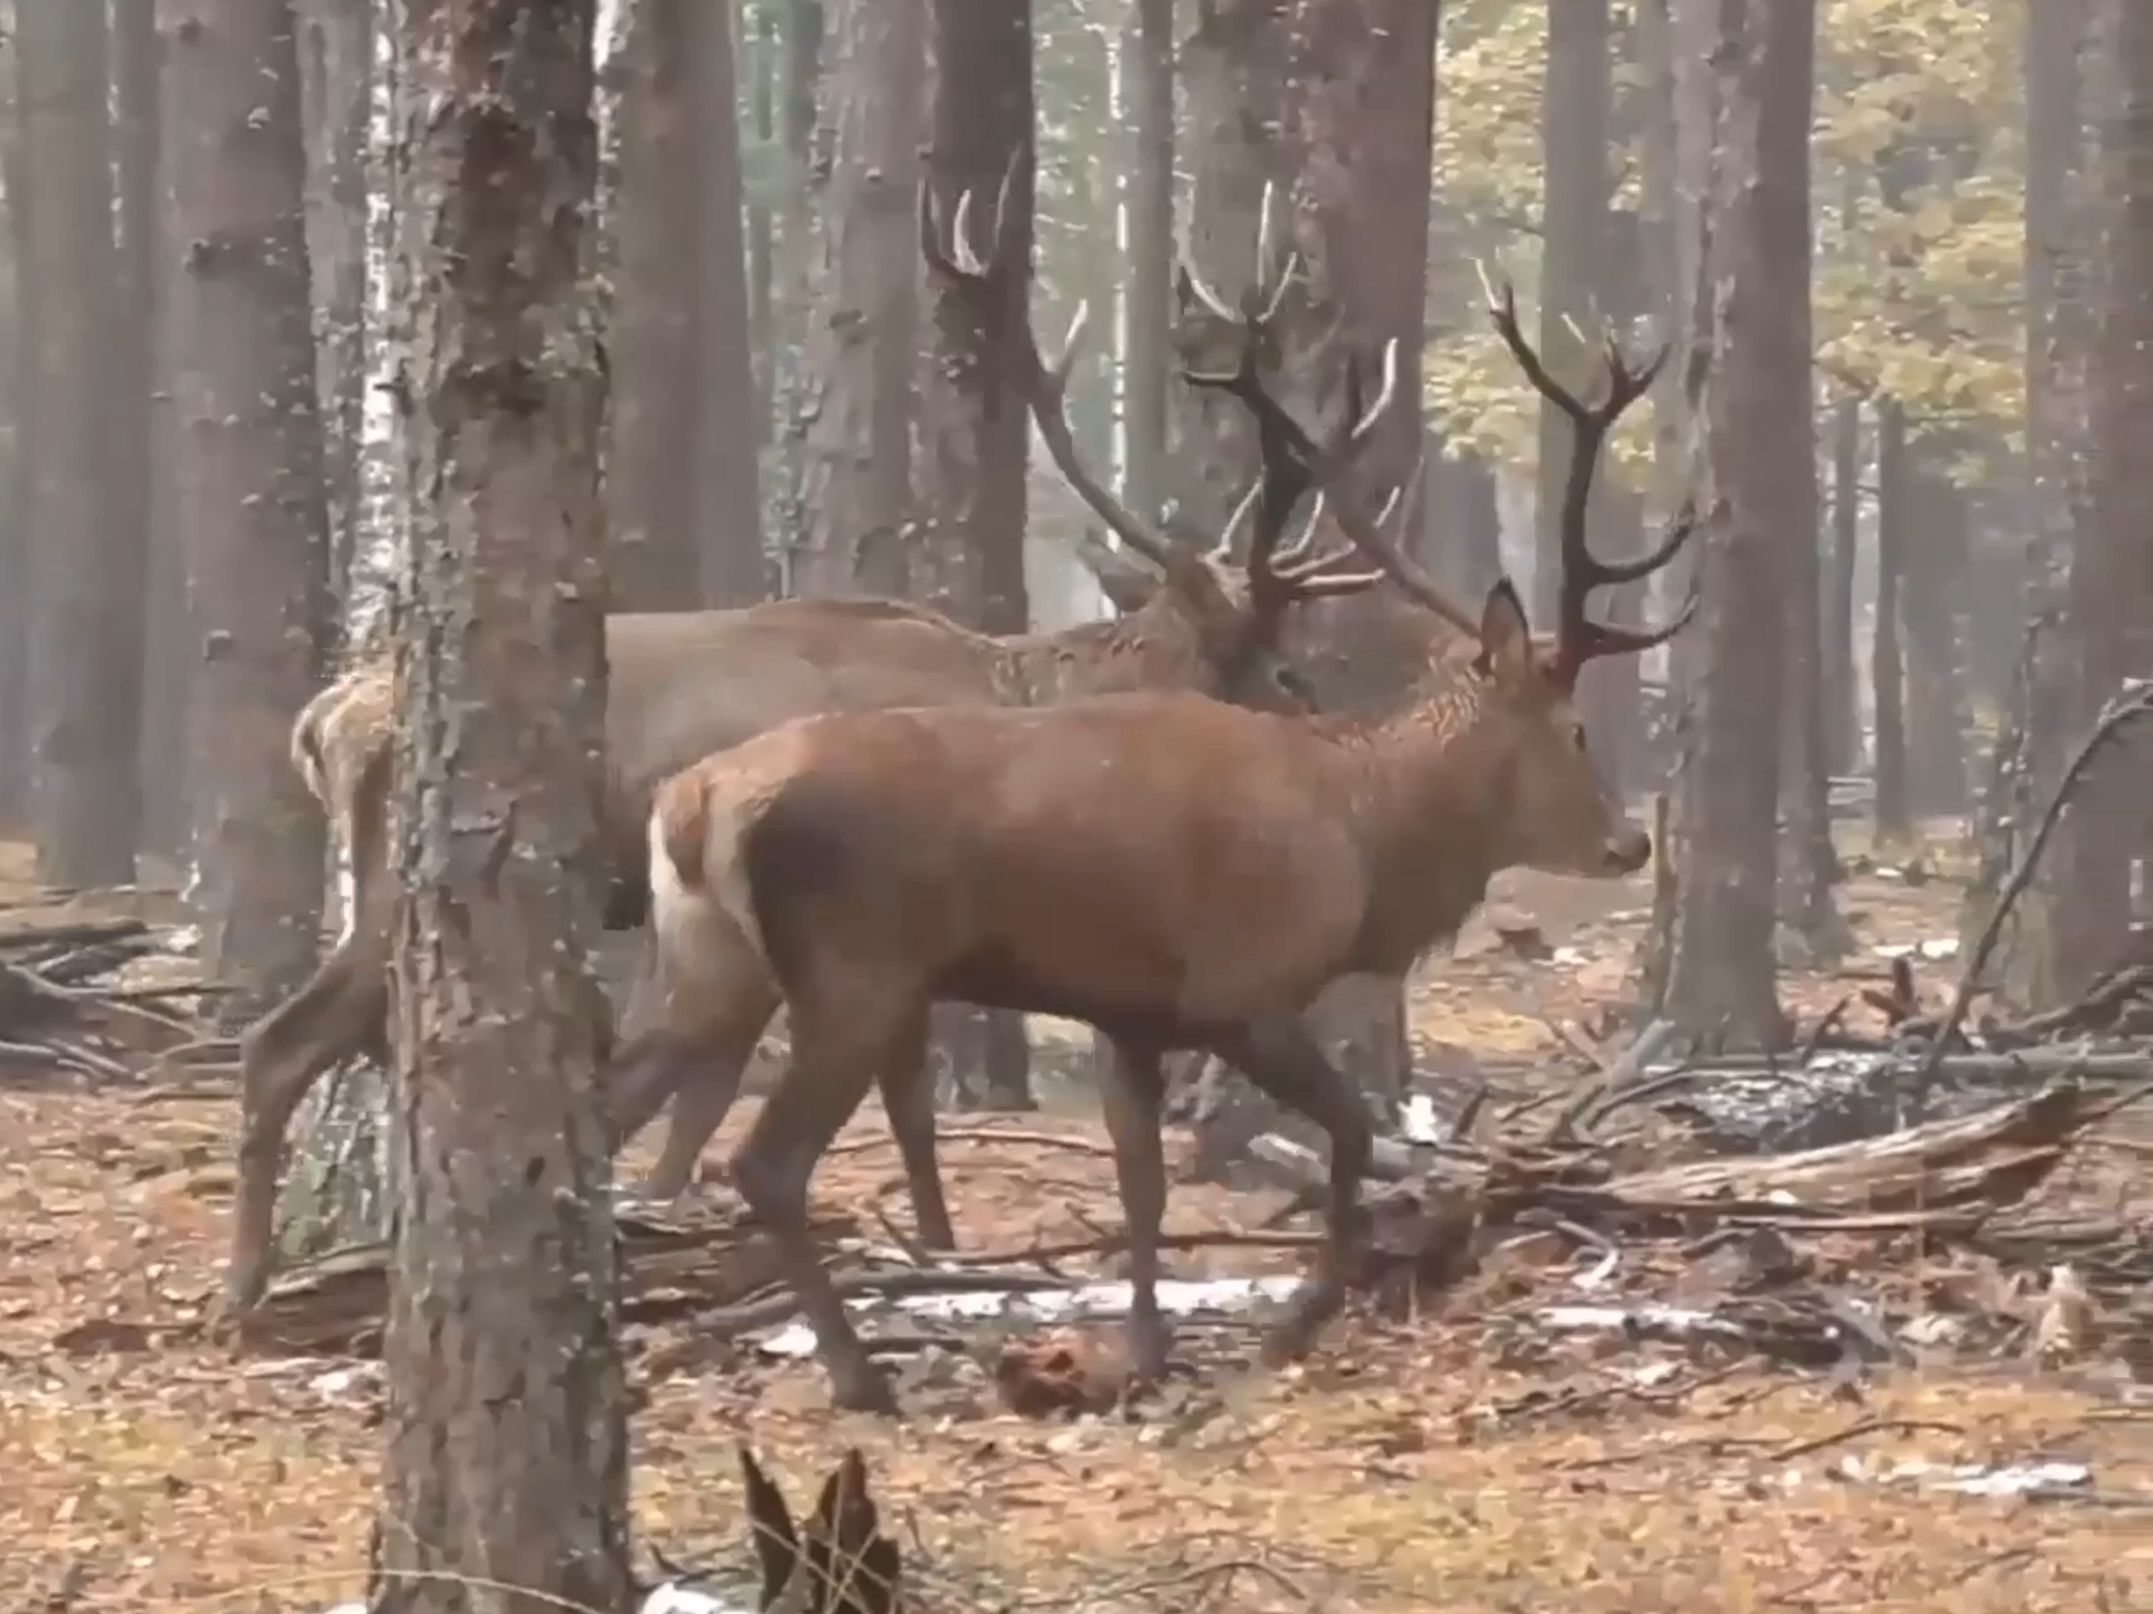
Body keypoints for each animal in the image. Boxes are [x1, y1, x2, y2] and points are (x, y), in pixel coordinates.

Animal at [218, 171, 1386, 1317]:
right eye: (1278, 669)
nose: (1324, 761)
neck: (1008, 688)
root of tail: (323, 720)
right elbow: (900, 1098)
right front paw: (936, 1252)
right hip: (399, 877)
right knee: (284, 1043)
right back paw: (246, 1285)